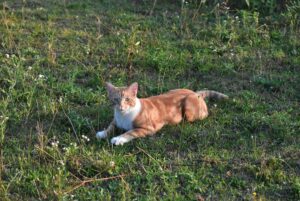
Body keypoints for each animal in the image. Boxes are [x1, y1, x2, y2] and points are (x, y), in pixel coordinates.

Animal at [96, 82, 227, 145]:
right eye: (115, 99)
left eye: (127, 99)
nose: (121, 107)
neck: (123, 116)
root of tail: (195, 93)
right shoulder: (115, 121)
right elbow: (110, 126)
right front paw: (102, 133)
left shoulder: (148, 128)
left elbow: (130, 132)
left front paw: (119, 138)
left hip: (189, 109)